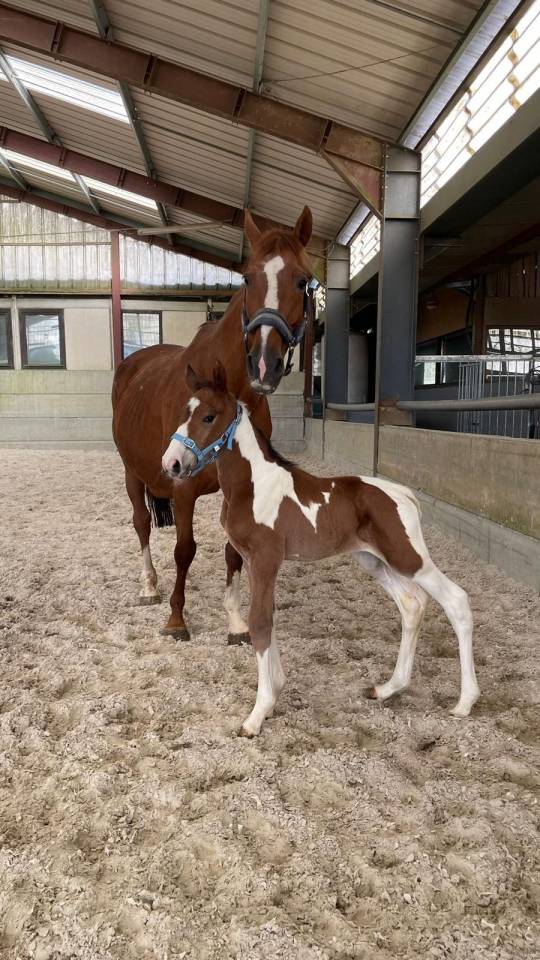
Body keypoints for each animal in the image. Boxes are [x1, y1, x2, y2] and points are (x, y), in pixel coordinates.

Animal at [112, 206, 314, 642]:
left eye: (303, 280)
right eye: (248, 277)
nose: (263, 363)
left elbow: (233, 551)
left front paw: (236, 621)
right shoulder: (183, 487)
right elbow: (184, 549)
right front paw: (176, 618)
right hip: (132, 472)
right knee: (141, 524)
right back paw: (149, 585)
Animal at [161, 362, 481, 737]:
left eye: (209, 416)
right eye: (184, 412)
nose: (171, 464)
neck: (253, 486)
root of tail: (403, 495)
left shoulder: (266, 559)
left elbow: (259, 622)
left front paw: (257, 714)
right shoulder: (255, 562)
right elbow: (266, 617)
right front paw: (275, 693)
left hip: (409, 558)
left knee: (456, 600)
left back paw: (464, 702)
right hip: (374, 560)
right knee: (412, 605)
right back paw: (388, 688)